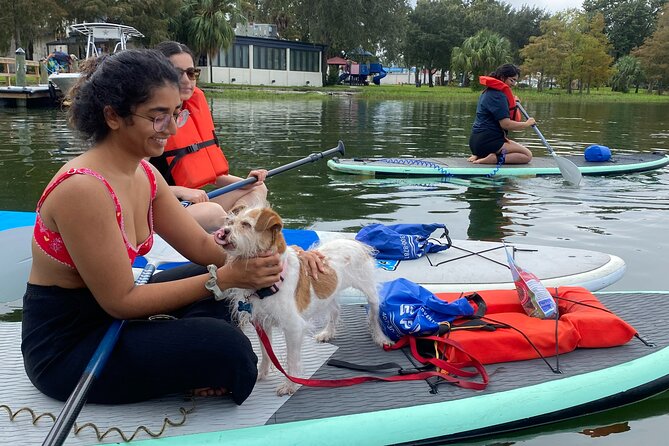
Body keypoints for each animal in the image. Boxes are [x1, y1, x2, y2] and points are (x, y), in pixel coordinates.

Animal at [214, 205, 392, 394]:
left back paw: (381, 338)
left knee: (374, 315)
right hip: (329, 294)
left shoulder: (293, 328)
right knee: (335, 310)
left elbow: (291, 359)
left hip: (369, 291)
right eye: (230, 222)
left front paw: (290, 384)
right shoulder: (261, 323)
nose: (224, 232)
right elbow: (265, 352)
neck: (271, 282)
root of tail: (354, 242)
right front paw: (262, 373)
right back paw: (327, 333)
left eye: (246, 225)